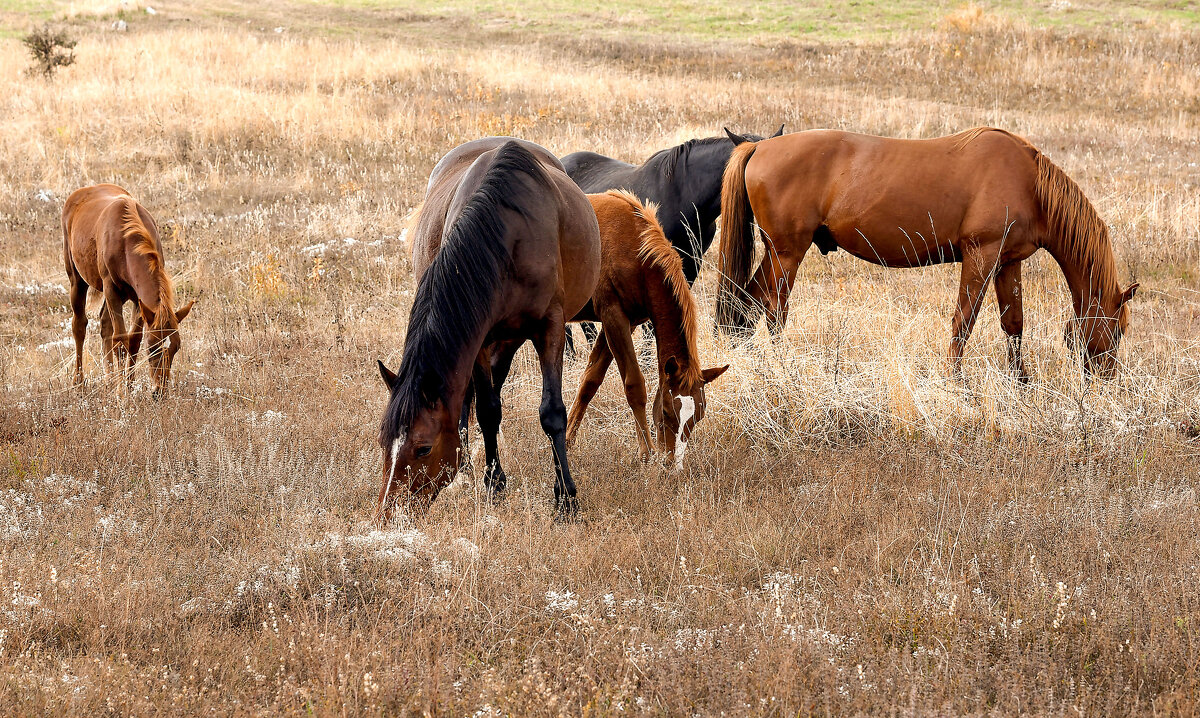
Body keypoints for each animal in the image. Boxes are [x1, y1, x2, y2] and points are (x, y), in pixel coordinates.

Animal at [63, 182, 193, 396]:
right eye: (153, 348)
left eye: (176, 348)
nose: (159, 392)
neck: (126, 241)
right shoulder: (111, 289)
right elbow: (120, 341)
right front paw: (121, 392)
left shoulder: (138, 300)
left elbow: (133, 341)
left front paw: (129, 385)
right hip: (77, 280)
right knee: (79, 325)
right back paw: (79, 382)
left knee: (105, 323)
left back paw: (109, 380)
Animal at [374, 139, 600, 523]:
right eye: (383, 443)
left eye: (423, 448)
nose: (391, 515)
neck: (509, 237)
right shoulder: (477, 339)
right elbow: (488, 410)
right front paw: (494, 484)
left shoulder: (550, 326)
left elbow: (552, 413)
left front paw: (566, 498)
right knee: (470, 397)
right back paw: (466, 461)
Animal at [566, 189, 724, 468]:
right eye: (666, 411)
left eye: (699, 415)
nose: (673, 463)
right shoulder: (613, 317)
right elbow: (634, 385)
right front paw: (646, 452)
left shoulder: (624, 324)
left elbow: (590, 381)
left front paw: (565, 442)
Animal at [715, 127, 1137, 379]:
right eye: (1117, 330)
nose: (1106, 380)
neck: (1029, 184)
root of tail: (758, 146)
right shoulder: (981, 255)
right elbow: (963, 322)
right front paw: (956, 383)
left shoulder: (1007, 262)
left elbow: (1013, 325)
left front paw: (1022, 384)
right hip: (787, 253)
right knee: (773, 308)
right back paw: (780, 367)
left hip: (777, 253)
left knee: (747, 302)